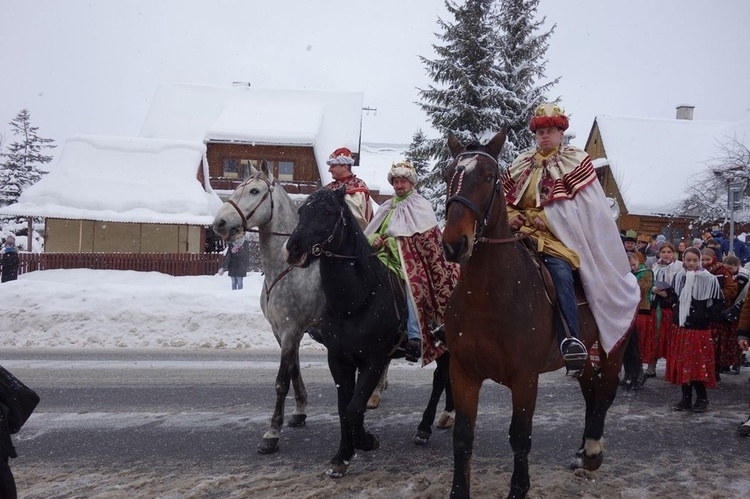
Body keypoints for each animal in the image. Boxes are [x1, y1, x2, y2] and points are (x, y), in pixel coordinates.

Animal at [440, 132, 636, 499]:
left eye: (488, 177)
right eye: (448, 175)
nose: (454, 244)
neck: (486, 298)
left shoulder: (525, 378)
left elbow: (520, 437)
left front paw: (519, 488)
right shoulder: (463, 373)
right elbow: (462, 438)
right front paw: (459, 491)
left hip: (613, 344)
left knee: (605, 392)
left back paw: (592, 452)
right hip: (582, 356)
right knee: (591, 391)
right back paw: (581, 452)